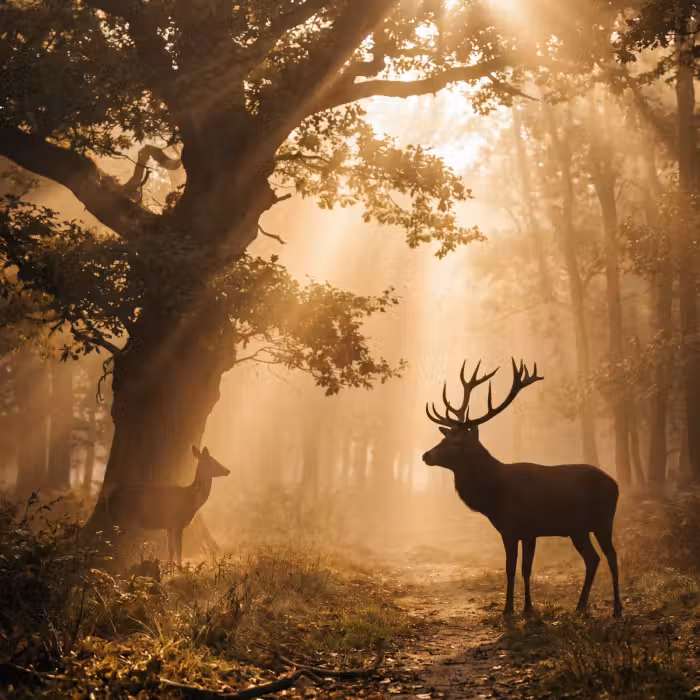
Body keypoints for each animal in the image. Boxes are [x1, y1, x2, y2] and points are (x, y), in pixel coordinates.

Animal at [423, 359, 622, 617]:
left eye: (456, 442)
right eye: (444, 438)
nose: (426, 455)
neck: (495, 495)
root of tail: (615, 484)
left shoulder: (523, 529)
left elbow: (521, 569)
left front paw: (520, 609)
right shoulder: (514, 531)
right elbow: (514, 569)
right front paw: (516, 608)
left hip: (603, 520)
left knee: (612, 556)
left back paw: (617, 609)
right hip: (578, 529)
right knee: (593, 558)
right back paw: (579, 607)